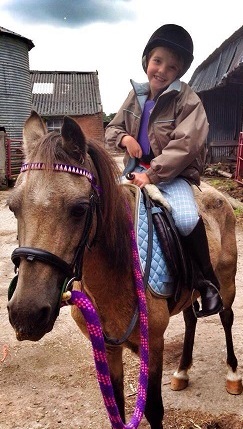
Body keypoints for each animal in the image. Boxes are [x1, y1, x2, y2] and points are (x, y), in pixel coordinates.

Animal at [6, 111, 242, 428]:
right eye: (12, 206)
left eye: (79, 209)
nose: (26, 314)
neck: (114, 277)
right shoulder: (107, 349)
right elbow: (116, 407)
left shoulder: (152, 346)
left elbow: (153, 409)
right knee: (191, 320)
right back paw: (182, 371)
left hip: (227, 283)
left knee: (226, 318)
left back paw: (233, 375)